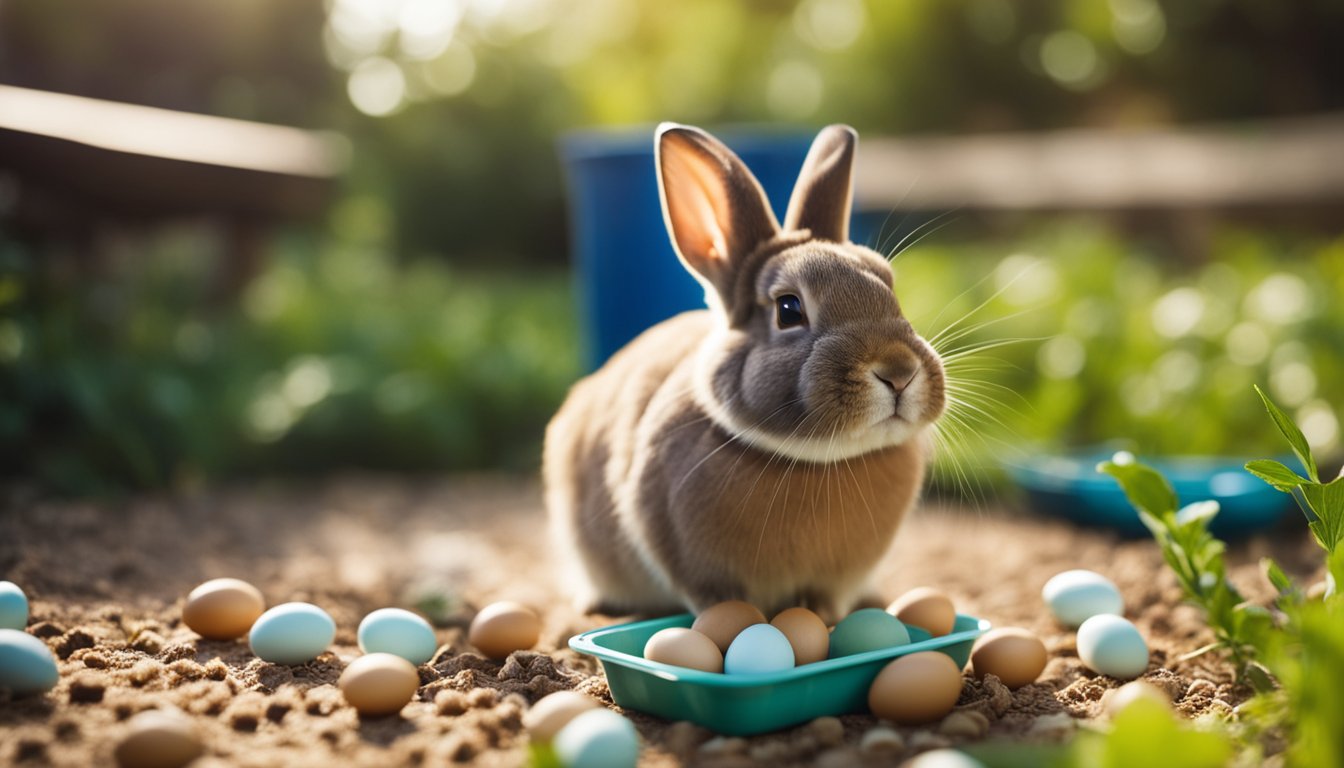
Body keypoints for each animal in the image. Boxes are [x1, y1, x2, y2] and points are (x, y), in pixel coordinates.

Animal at [544, 123, 946, 623]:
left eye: (890, 288)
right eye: (788, 309)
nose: (898, 371)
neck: (815, 462)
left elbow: (822, 600)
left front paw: (820, 617)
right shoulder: (692, 562)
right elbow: (722, 601)